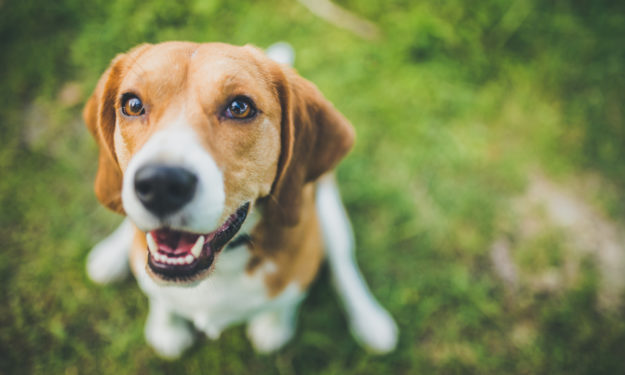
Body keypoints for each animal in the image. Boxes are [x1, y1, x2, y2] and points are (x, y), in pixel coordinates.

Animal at [83, 41, 398, 358]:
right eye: (133, 105)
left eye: (239, 107)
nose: (160, 184)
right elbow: (160, 296)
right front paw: (166, 327)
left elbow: (288, 302)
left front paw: (274, 326)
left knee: (344, 262)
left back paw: (371, 321)